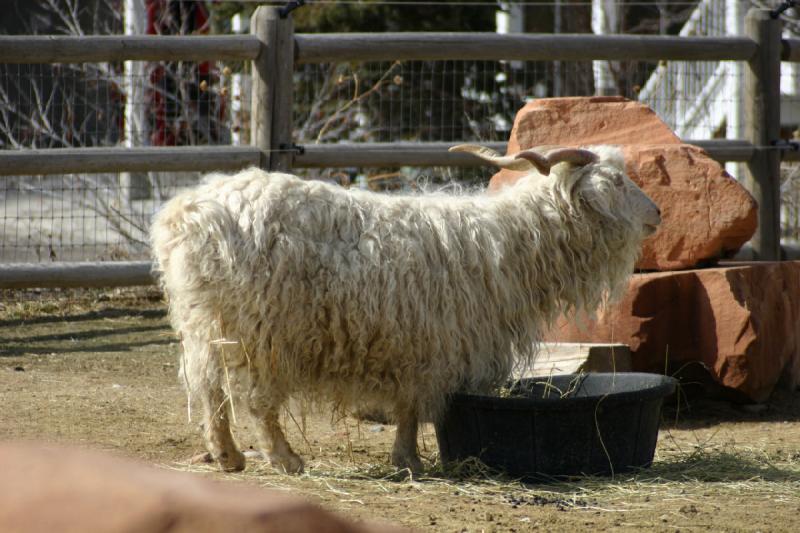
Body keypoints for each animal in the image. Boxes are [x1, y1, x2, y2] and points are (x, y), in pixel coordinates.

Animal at [150, 143, 664, 472]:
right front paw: (410, 461)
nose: (657, 213)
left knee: (208, 386)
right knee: (254, 399)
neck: (513, 242)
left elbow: (407, 405)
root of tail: (185, 214)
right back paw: (286, 460)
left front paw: (407, 459)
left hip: (207, 322)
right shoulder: (430, 345)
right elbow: (413, 405)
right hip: (261, 328)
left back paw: (228, 457)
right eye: (617, 182)